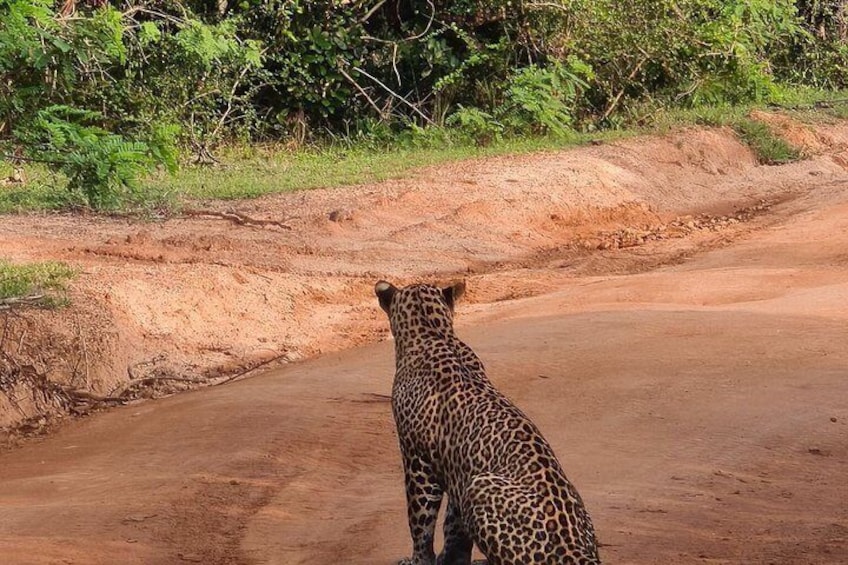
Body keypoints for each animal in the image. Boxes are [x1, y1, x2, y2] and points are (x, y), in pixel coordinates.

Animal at [375, 280, 601, 565]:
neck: (433, 332)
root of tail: (575, 549)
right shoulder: (458, 469)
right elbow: (454, 525)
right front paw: (450, 558)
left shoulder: (416, 458)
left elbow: (420, 520)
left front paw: (418, 560)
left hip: (479, 486)